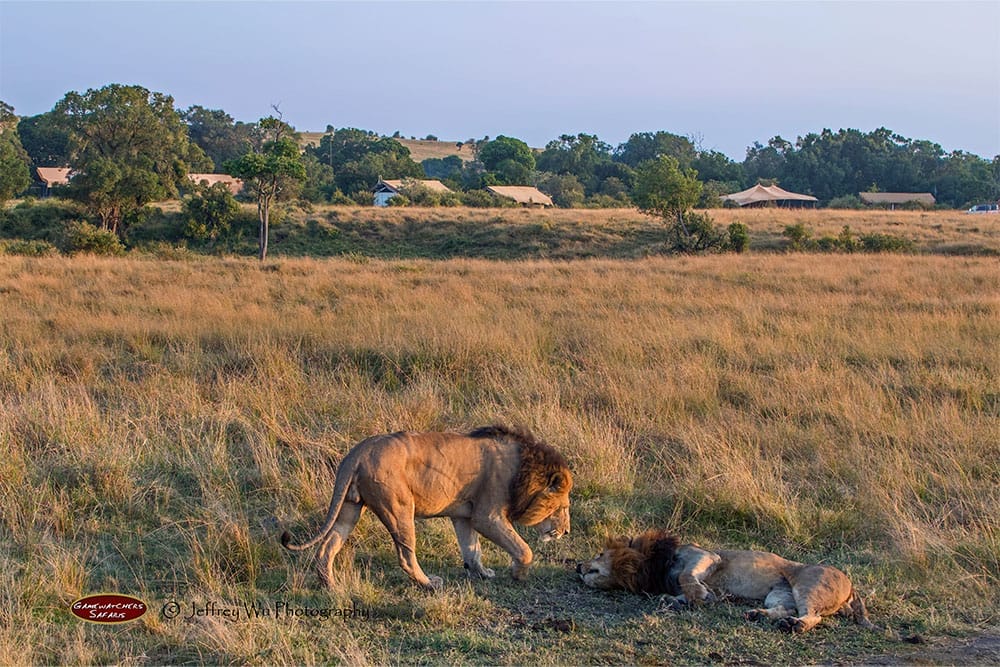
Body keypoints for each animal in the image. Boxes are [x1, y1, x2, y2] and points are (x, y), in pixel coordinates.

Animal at [282, 425, 572, 590]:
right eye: (563, 507)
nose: (567, 532)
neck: (525, 468)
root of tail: (358, 452)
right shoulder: (486, 515)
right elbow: (523, 549)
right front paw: (518, 574)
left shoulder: (464, 516)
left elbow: (472, 550)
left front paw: (483, 573)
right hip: (399, 509)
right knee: (406, 556)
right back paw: (429, 584)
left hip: (350, 508)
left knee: (328, 545)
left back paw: (330, 586)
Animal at [577, 529, 874, 634]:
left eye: (599, 554)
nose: (578, 567)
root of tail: (851, 585)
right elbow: (679, 593)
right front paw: (676, 601)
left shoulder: (706, 556)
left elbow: (688, 578)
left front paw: (701, 596)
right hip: (778, 594)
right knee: (784, 609)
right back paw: (758, 615)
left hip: (808, 586)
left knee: (814, 615)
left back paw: (795, 626)